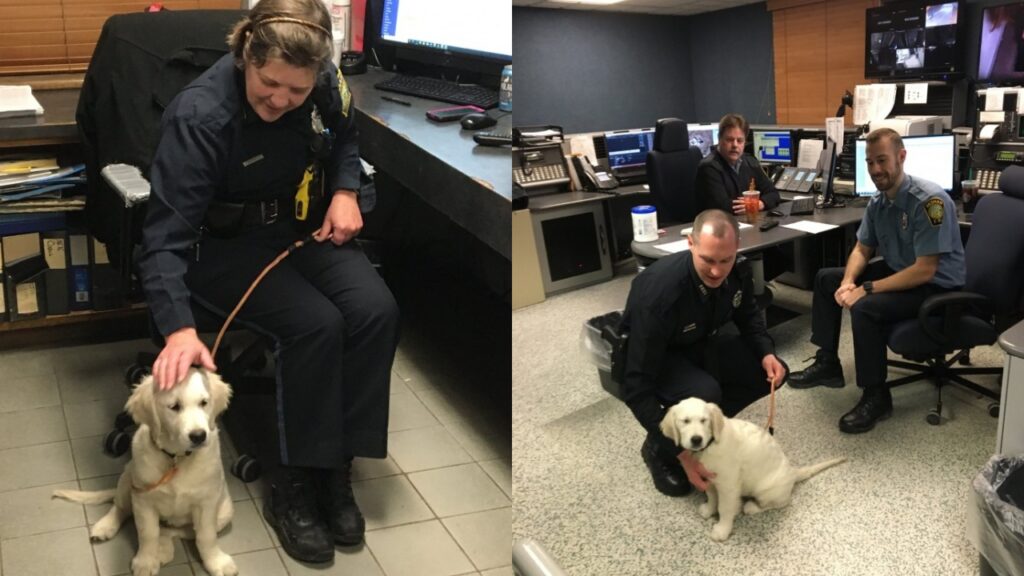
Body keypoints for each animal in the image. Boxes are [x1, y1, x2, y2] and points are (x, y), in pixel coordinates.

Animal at [54, 366, 237, 573]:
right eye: (174, 407)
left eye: (204, 403)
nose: (198, 436)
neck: (176, 457)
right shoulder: (143, 500)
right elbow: (147, 533)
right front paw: (145, 562)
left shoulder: (206, 502)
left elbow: (206, 536)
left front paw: (216, 562)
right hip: (128, 477)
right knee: (121, 507)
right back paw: (105, 527)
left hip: (225, 511)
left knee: (173, 531)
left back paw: (163, 550)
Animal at [659, 397, 843, 541]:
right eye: (685, 421)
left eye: (704, 420)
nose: (696, 439)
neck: (711, 445)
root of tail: (793, 472)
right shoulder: (710, 478)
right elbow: (711, 496)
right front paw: (709, 510)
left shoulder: (728, 486)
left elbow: (725, 508)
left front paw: (722, 530)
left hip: (766, 490)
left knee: (782, 503)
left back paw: (751, 507)